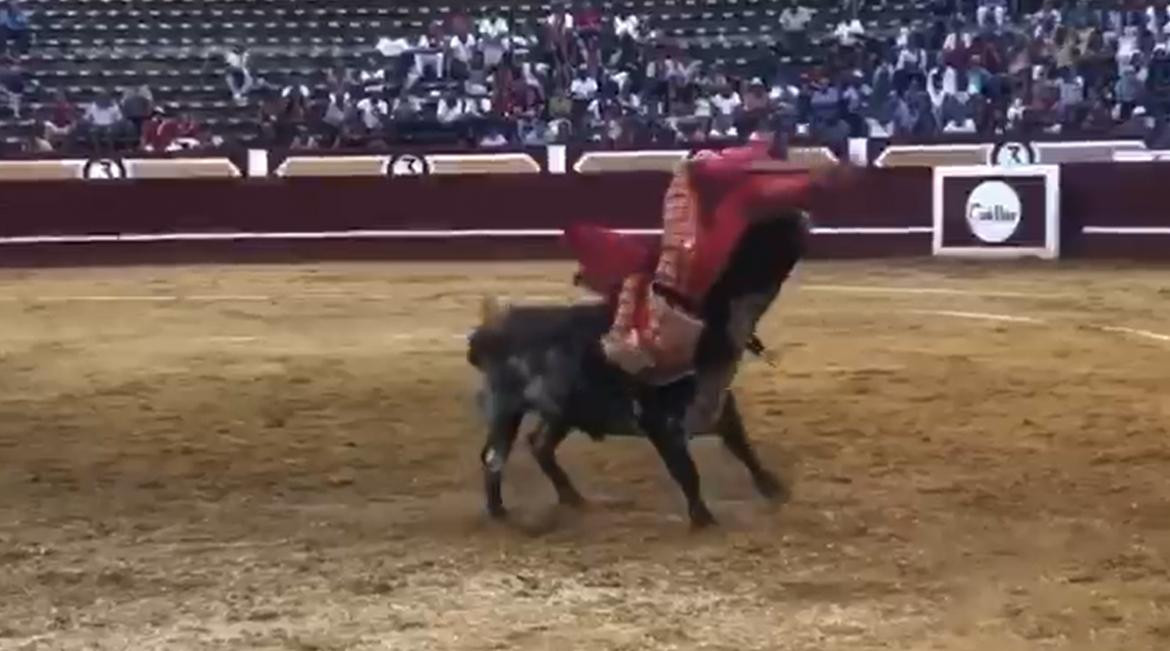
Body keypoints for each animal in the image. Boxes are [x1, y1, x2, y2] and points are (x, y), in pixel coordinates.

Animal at [463, 210, 804, 526]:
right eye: (747, 249)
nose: (796, 216)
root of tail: (486, 333)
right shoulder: (660, 425)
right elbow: (687, 472)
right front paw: (704, 520)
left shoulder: (720, 406)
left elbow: (745, 450)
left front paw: (775, 490)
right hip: (506, 409)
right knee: (494, 456)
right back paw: (498, 510)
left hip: (562, 411)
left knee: (539, 445)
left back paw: (573, 499)